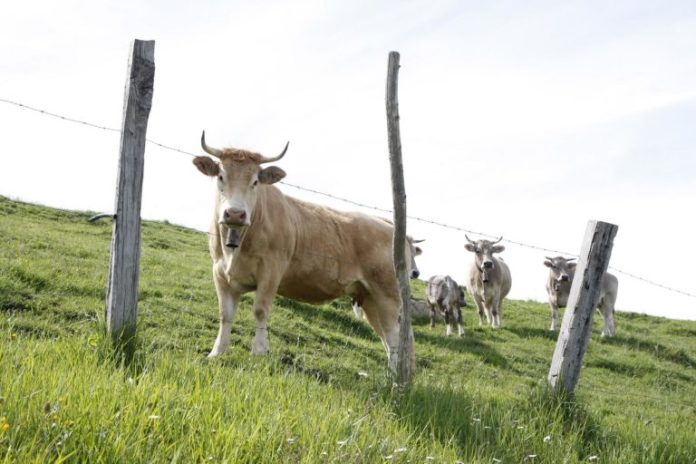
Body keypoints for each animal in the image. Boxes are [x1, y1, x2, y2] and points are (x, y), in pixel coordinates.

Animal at [193, 133, 416, 374]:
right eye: (221, 176)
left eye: (255, 182)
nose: (235, 213)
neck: (235, 247)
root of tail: (390, 226)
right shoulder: (220, 273)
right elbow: (225, 315)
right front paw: (216, 353)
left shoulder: (271, 272)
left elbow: (260, 310)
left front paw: (258, 353)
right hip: (369, 298)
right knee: (387, 336)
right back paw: (394, 373)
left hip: (388, 294)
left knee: (395, 336)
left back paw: (396, 376)